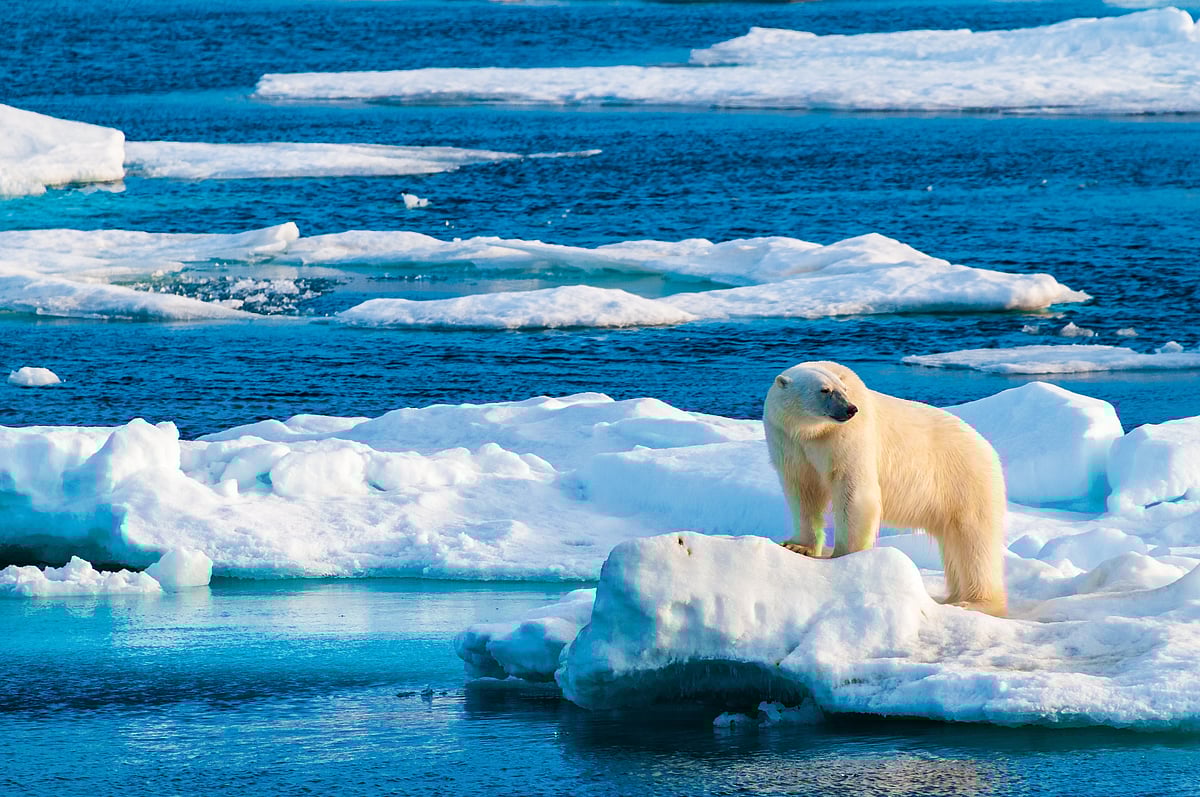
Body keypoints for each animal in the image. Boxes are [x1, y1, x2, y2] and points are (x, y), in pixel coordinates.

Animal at [763, 360, 1007, 616]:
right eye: (824, 390)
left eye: (844, 389)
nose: (851, 409)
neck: (811, 432)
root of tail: (988, 449)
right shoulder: (789, 441)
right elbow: (803, 492)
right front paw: (798, 546)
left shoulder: (847, 437)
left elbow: (854, 491)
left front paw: (845, 557)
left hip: (966, 481)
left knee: (975, 541)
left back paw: (975, 602)